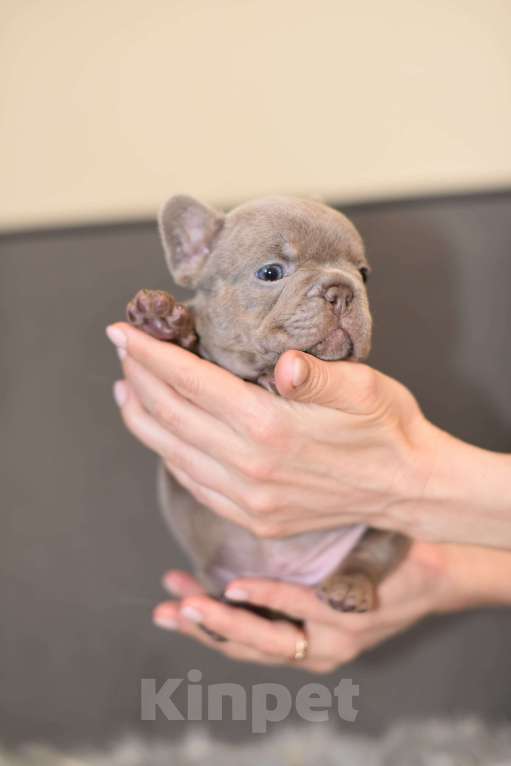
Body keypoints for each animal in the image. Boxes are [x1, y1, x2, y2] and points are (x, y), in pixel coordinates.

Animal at [128, 195, 412, 620]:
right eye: (271, 272)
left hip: (391, 518)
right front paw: (161, 322)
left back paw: (348, 587)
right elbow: (192, 349)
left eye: (363, 275)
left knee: (371, 553)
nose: (342, 290)